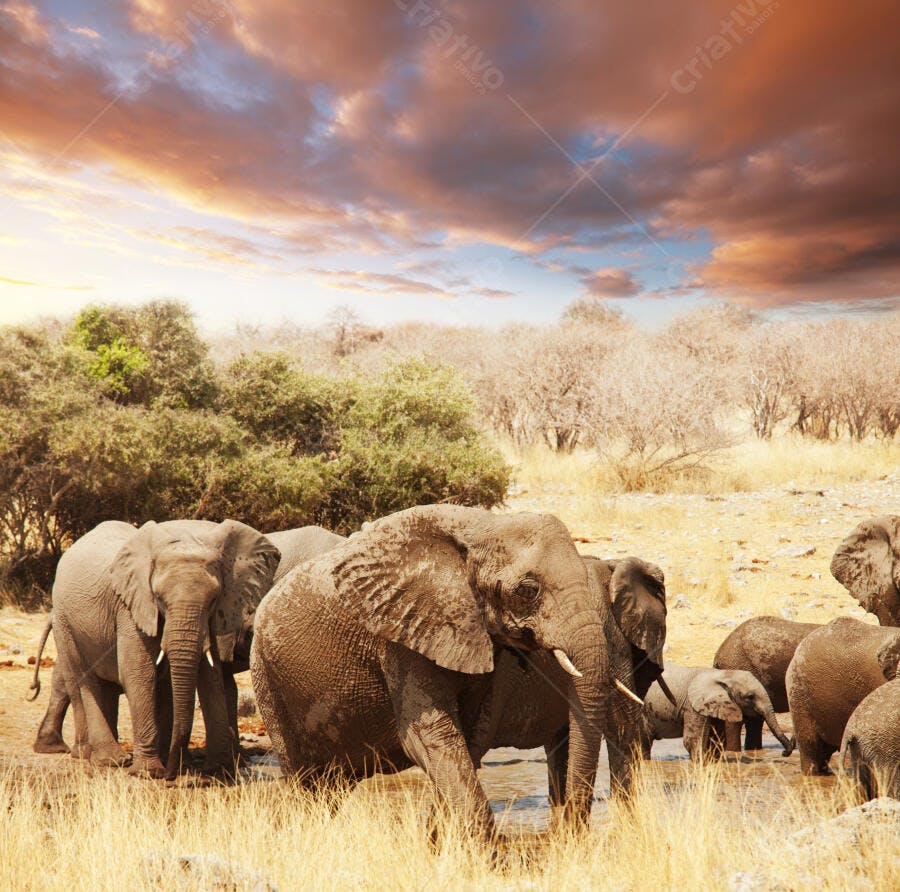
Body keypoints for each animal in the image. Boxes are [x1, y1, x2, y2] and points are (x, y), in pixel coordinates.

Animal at [30, 525, 344, 759]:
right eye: (158, 598)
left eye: (214, 598)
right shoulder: (130, 608)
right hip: (67, 620)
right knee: (78, 678)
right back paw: (90, 754)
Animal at [251, 505, 609, 837]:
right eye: (528, 590)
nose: (567, 830)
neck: (484, 526)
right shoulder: (399, 635)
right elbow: (429, 737)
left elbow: (469, 738)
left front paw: (440, 840)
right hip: (267, 678)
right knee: (303, 779)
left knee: (332, 786)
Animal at [641, 666, 794, 760]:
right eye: (750, 697)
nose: (784, 753)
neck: (722, 674)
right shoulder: (693, 705)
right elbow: (692, 741)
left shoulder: (717, 706)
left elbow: (716, 741)